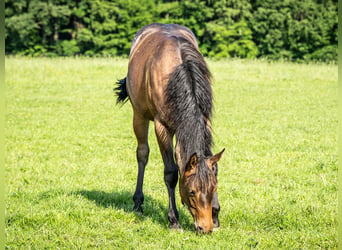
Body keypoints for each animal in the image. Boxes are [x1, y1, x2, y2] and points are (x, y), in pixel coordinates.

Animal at [115, 22, 224, 233]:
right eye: (192, 191)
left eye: (213, 188)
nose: (205, 227)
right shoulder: (162, 127)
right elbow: (171, 173)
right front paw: (174, 220)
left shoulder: (204, 120)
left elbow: (212, 167)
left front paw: (215, 216)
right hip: (139, 116)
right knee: (142, 154)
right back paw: (138, 203)